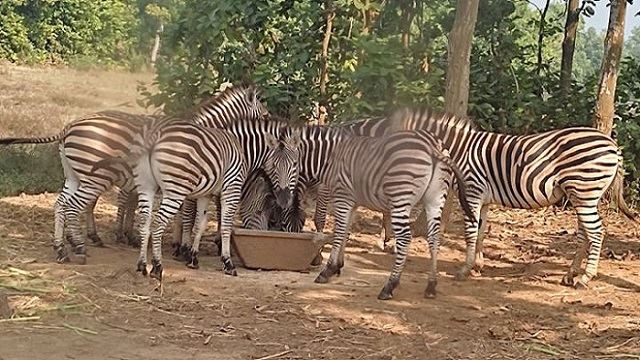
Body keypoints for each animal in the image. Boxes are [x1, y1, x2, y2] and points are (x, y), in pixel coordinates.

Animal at [0, 84, 266, 264]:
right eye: (263, 113)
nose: (270, 116)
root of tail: (69, 126)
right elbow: (185, 217)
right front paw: (180, 248)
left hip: (76, 175)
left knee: (62, 205)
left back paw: (64, 247)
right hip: (93, 177)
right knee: (75, 206)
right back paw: (79, 246)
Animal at [91, 119, 302, 278]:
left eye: (294, 164)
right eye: (274, 166)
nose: (284, 200)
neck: (242, 148)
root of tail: (154, 138)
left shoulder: (204, 193)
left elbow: (200, 223)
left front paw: (193, 258)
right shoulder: (231, 188)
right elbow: (226, 226)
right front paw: (227, 263)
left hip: (146, 186)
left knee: (144, 222)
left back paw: (142, 265)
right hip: (175, 189)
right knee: (157, 224)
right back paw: (157, 267)